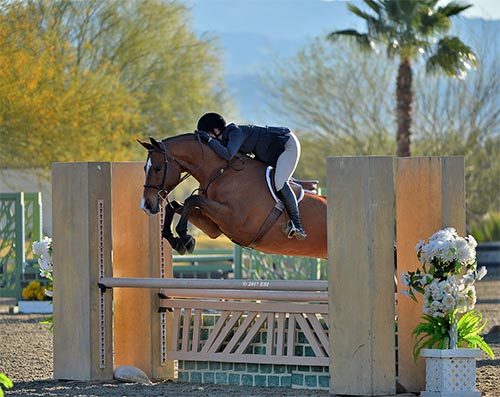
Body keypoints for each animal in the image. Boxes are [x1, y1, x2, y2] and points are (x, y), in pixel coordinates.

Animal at [139, 133, 328, 256]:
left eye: (158, 168)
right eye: (144, 168)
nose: (146, 206)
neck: (221, 172)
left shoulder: (235, 220)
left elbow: (192, 199)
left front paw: (184, 237)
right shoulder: (214, 227)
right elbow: (176, 205)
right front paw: (178, 241)